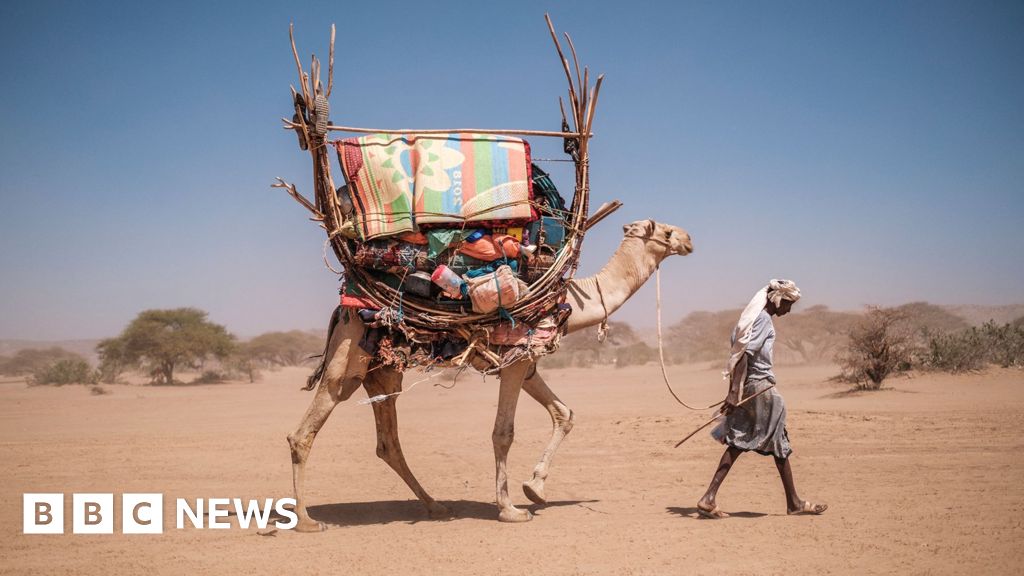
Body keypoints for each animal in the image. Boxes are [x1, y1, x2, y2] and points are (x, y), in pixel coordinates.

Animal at [287, 219, 693, 530]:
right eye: (665, 230)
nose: (689, 239)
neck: (568, 303)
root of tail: (342, 310)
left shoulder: (525, 363)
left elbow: (565, 413)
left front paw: (535, 488)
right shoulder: (514, 364)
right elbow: (503, 433)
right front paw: (510, 509)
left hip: (383, 374)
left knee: (388, 443)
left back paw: (435, 506)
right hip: (349, 359)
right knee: (305, 430)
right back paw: (306, 520)